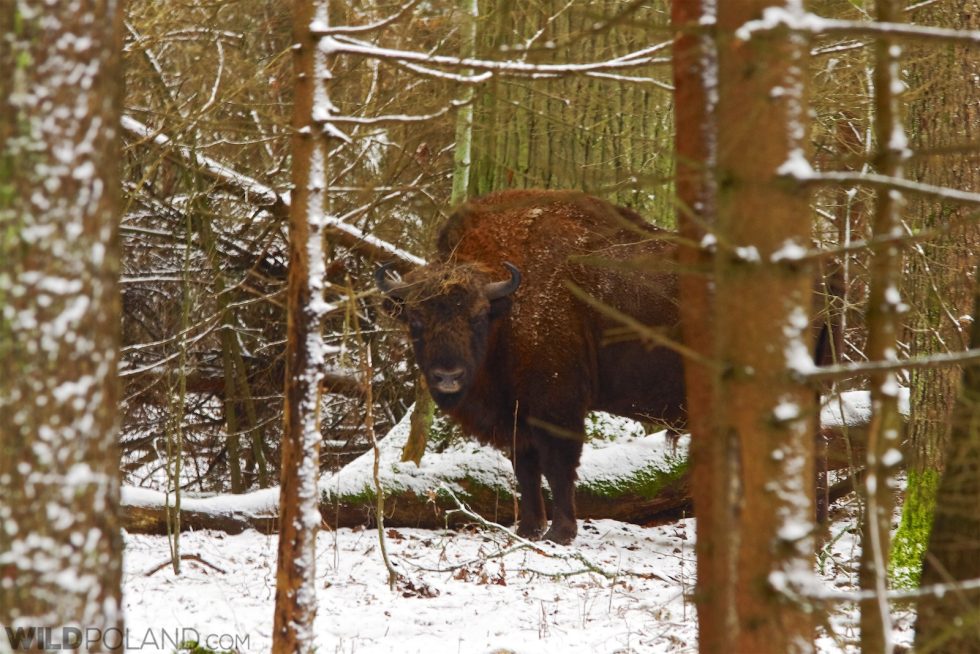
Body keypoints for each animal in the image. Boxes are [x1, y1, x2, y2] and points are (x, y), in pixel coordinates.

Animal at [378, 188, 684, 544]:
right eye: (415, 320)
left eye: (478, 317)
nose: (448, 377)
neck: (507, 310)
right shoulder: (517, 418)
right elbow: (526, 471)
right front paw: (529, 529)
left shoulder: (556, 409)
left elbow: (557, 468)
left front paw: (560, 533)